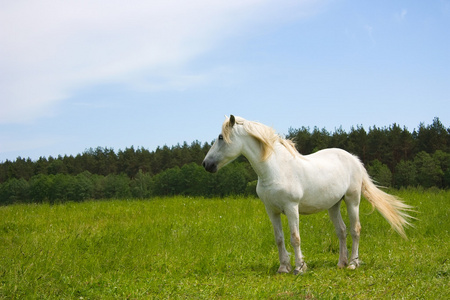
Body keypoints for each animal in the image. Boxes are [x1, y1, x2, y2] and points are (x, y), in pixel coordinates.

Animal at [202, 115, 414, 274]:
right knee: (342, 231)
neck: (276, 169)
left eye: (221, 137)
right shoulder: (272, 211)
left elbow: (294, 237)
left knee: (355, 230)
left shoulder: (291, 208)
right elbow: (279, 239)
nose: (206, 164)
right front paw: (283, 268)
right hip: (333, 205)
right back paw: (341, 263)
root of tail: (353, 158)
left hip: (352, 200)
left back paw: (353, 264)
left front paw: (299, 268)